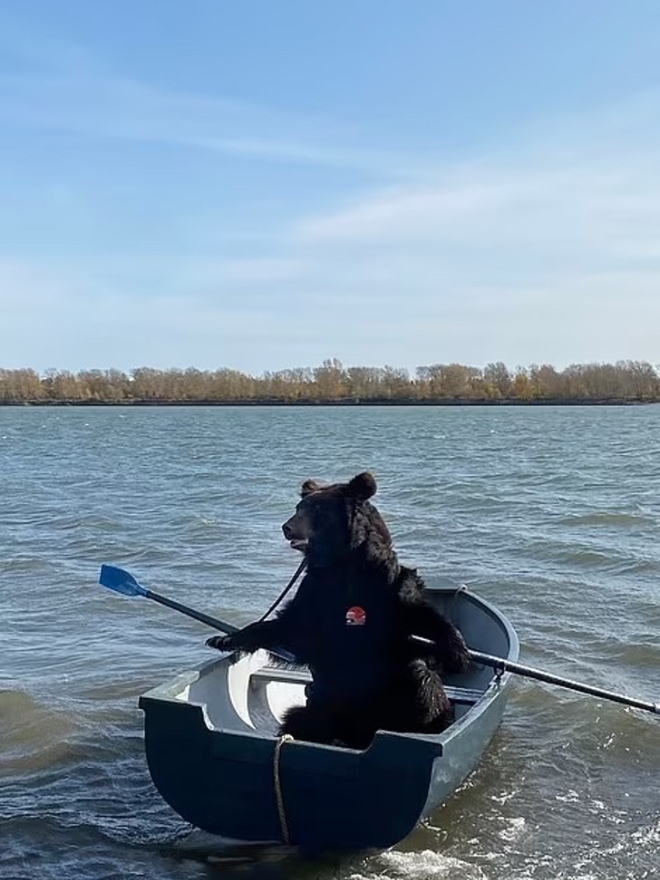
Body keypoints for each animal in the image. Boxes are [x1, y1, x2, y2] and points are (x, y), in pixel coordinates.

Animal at [206, 472, 470, 750]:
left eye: (317, 509)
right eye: (299, 507)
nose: (287, 527)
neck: (342, 563)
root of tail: (356, 734)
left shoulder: (387, 592)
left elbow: (422, 621)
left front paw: (458, 651)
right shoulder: (316, 594)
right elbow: (290, 628)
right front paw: (224, 638)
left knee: (421, 680)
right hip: (322, 704)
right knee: (299, 719)